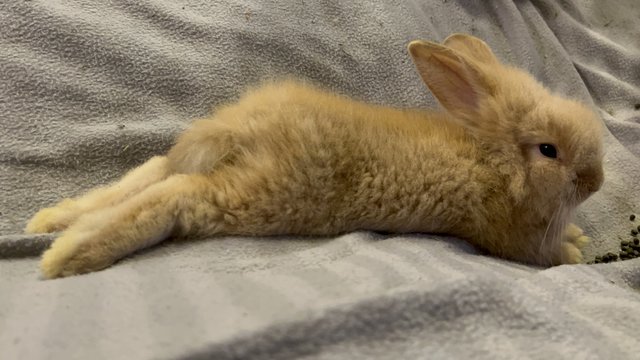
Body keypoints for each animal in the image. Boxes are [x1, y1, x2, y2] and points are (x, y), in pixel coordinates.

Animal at [25, 33, 604, 278]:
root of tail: (239, 128)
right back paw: (69, 256)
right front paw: (575, 250)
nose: (595, 182)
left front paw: (578, 234)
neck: (494, 160)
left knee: (154, 170)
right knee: (179, 194)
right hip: (264, 193)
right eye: (549, 150)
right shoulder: (507, 237)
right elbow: (542, 255)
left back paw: (49, 223)